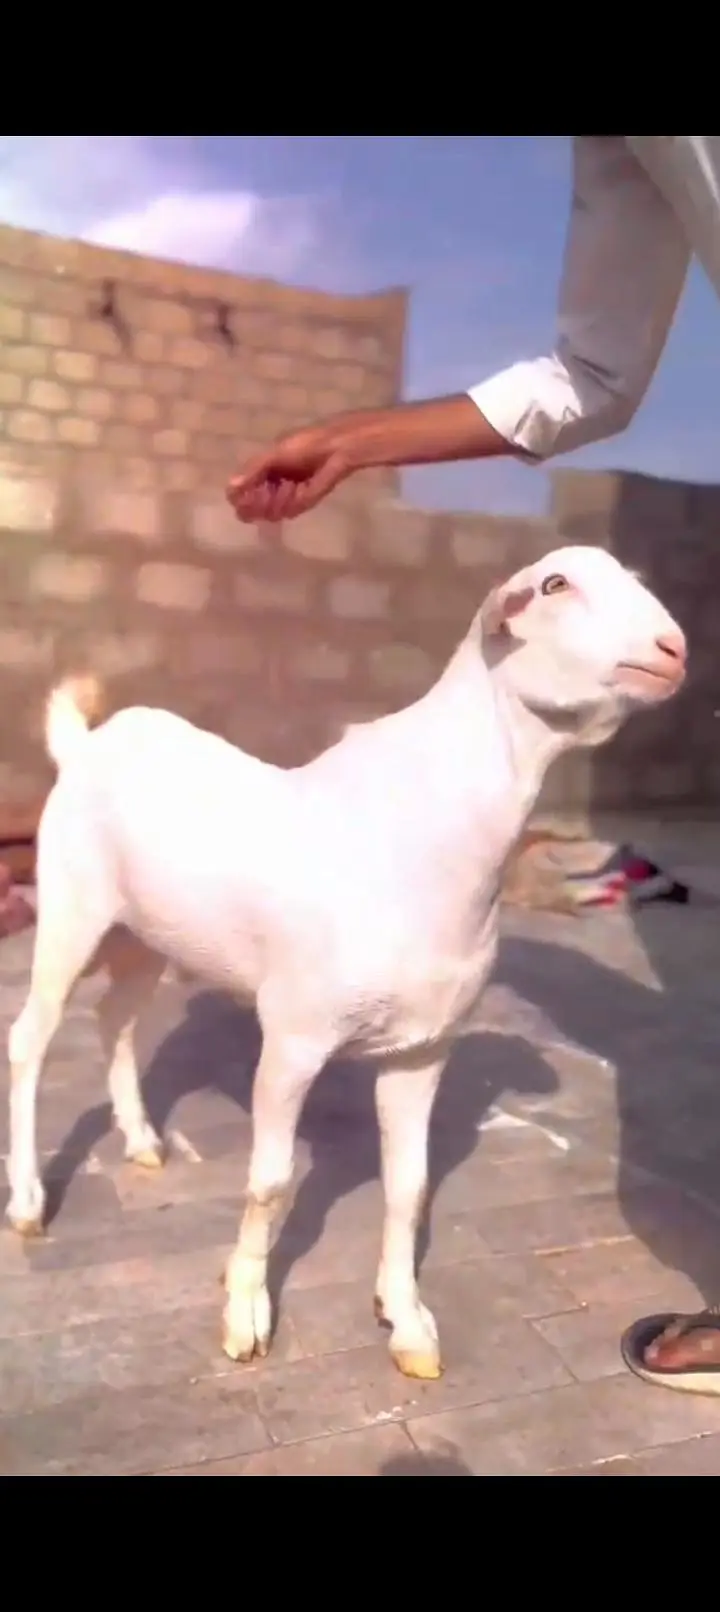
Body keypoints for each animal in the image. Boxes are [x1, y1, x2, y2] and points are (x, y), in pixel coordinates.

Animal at [5, 545, 686, 1381]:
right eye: (554, 586)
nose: (673, 650)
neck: (428, 834)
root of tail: (86, 743)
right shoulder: (293, 1038)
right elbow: (269, 1184)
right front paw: (245, 1317)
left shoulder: (423, 1048)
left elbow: (409, 1187)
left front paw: (407, 1323)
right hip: (71, 909)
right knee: (31, 1039)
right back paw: (29, 1204)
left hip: (144, 934)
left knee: (116, 1018)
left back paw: (139, 1140)